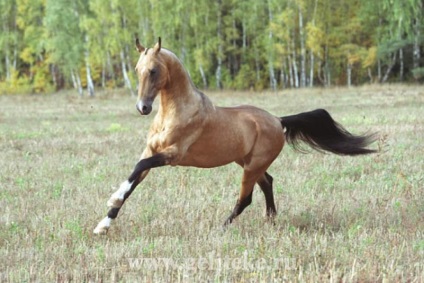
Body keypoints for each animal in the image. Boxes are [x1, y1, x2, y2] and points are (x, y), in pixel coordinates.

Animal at [93, 38, 378, 236]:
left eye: (153, 70)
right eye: (136, 68)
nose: (142, 107)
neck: (175, 113)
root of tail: (278, 120)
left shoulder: (173, 155)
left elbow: (138, 169)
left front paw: (112, 199)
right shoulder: (151, 151)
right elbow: (134, 177)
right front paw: (102, 225)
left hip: (251, 166)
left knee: (247, 197)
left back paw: (222, 227)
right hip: (248, 163)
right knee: (267, 183)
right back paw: (270, 220)